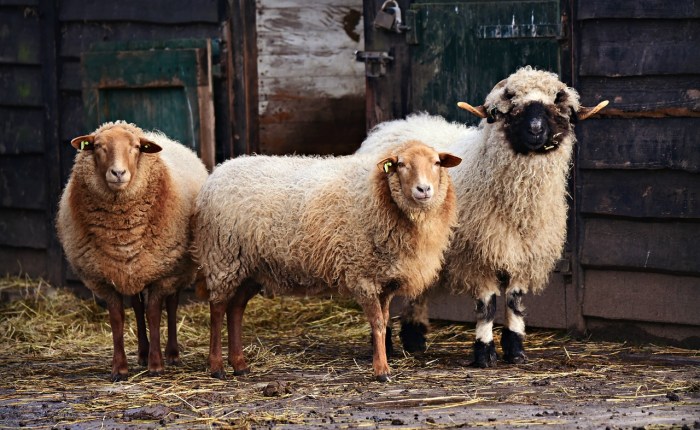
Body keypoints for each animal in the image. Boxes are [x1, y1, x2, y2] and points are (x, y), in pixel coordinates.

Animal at [56, 121, 208, 381]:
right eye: (98, 146)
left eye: (136, 147)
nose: (118, 173)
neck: (122, 233)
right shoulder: (104, 278)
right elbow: (118, 318)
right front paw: (120, 368)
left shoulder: (162, 273)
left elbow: (154, 314)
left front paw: (157, 365)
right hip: (133, 271)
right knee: (137, 307)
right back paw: (142, 353)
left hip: (176, 267)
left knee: (172, 304)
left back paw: (172, 354)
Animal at [193, 140, 461, 382]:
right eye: (401, 164)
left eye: (437, 163)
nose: (423, 190)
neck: (378, 193)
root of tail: (219, 170)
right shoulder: (362, 274)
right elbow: (376, 323)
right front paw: (381, 371)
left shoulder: (385, 279)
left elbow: (384, 322)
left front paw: (382, 363)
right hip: (223, 257)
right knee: (218, 309)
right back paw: (217, 366)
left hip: (251, 267)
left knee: (236, 309)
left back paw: (239, 364)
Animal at [357, 66, 608, 367]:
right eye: (512, 108)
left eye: (556, 109)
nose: (536, 131)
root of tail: (392, 126)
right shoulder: (478, 255)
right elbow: (488, 306)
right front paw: (484, 352)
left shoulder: (522, 253)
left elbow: (514, 302)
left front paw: (515, 350)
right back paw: (387, 344)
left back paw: (415, 339)